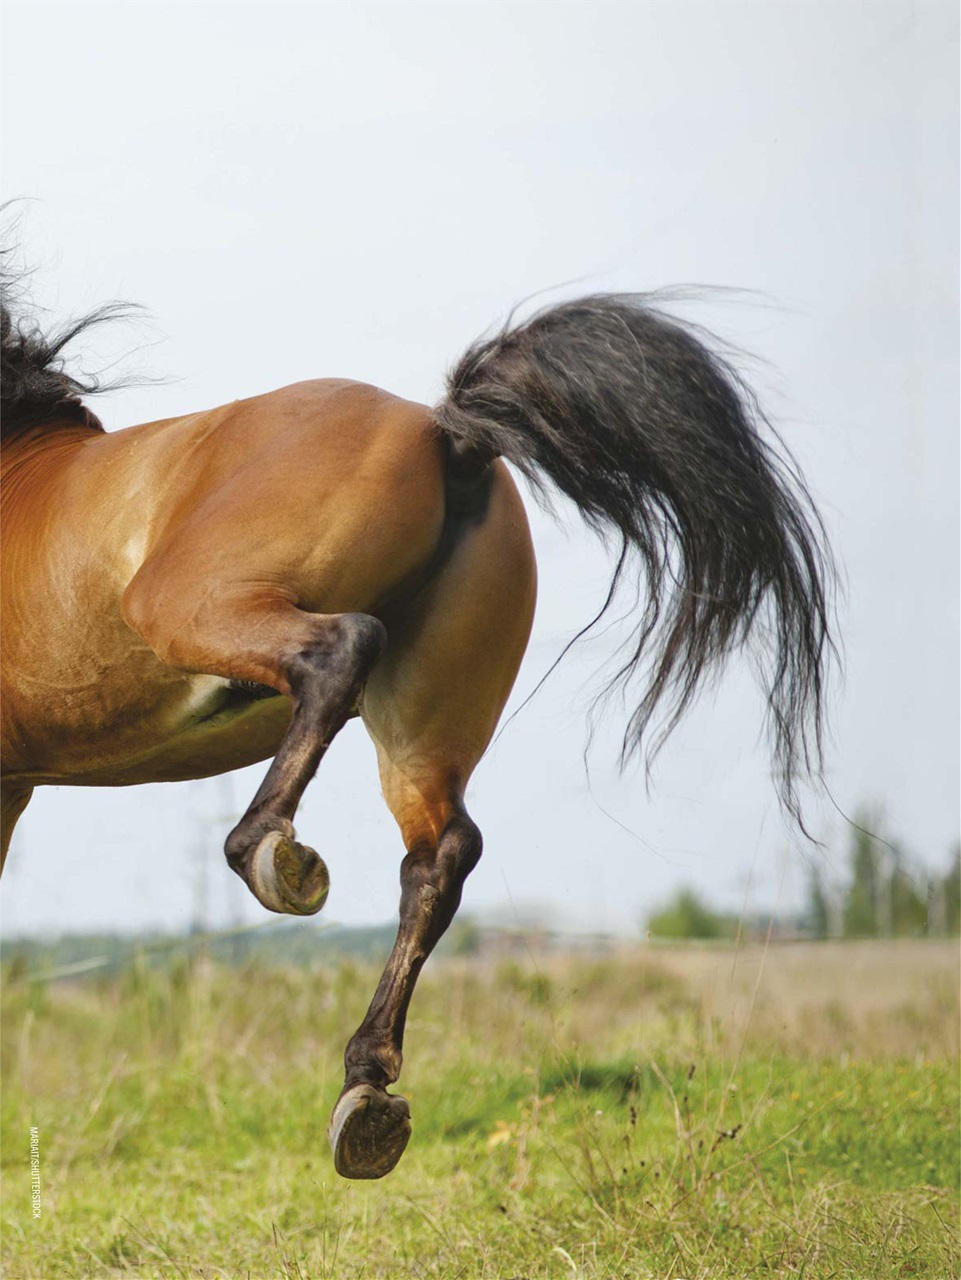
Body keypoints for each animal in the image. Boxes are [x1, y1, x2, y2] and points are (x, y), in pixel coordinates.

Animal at [0, 280, 833, 1179]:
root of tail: (447, 433)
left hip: (187, 606)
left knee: (339, 655)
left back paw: (271, 853)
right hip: (424, 723)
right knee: (439, 854)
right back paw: (365, 1097)